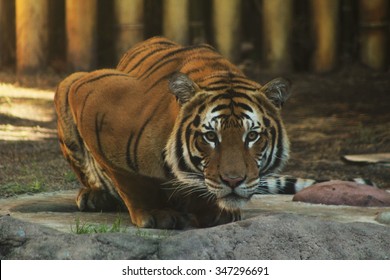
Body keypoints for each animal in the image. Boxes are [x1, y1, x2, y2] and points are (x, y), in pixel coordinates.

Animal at [54, 37, 368, 230]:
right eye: (209, 137)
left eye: (252, 136)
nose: (234, 181)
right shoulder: (90, 94)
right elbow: (129, 178)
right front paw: (156, 213)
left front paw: (214, 211)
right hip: (67, 84)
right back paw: (97, 196)